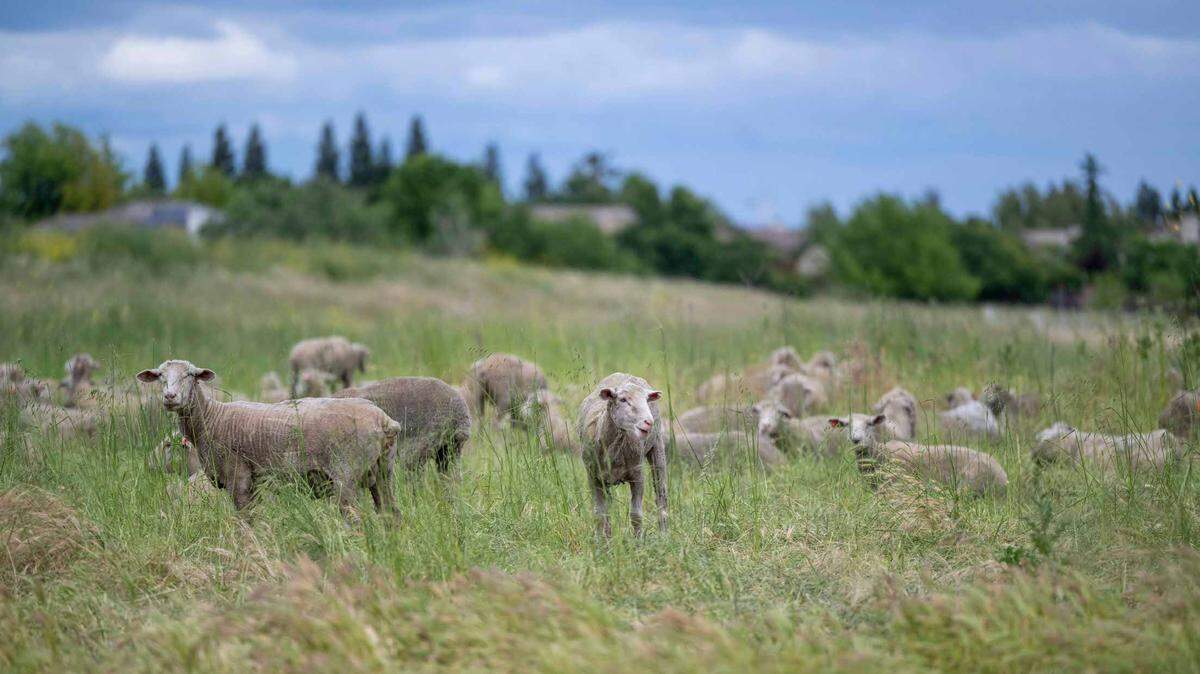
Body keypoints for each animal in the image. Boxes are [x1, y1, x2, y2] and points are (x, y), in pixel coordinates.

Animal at [137, 360, 400, 514]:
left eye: (190, 375)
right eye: (160, 376)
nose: (170, 397)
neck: (212, 418)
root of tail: (384, 421)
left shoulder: (238, 476)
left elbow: (244, 520)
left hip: (346, 474)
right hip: (383, 471)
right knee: (391, 515)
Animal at [578, 372, 667, 537]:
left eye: (646, 400)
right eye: (623, 399)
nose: (648, 422)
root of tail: (625, 374)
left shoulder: (638, 474)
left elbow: (636, 515)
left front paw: (639, 541)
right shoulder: (593, 477)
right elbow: (600, 515)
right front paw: (601, 542)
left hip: (657, 446)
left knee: (661, 496)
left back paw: (664, 536)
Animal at [837, 413, 1007, 496]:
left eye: (869, 424)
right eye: (846, 425)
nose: (856, 440)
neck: (880, 453)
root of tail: (1003, 476)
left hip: (969, 484)